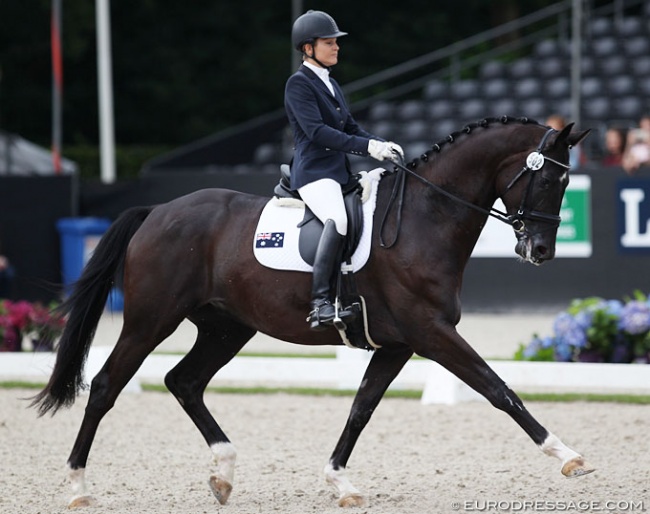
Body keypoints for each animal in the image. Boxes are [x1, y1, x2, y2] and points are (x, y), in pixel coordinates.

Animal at [34, 115, 592, 504]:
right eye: (548, 182)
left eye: (567, 185)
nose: (541, 251)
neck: (423, 218)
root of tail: (158, 211)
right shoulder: (430, 333)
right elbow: (498, 389)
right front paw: (568, 457)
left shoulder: (398, 343)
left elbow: (361, 407)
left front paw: (340, 482)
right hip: (151, 319)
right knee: (106, 386)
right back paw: (78, 488)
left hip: (226, 328)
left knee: (184, 381)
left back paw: (223, 473)